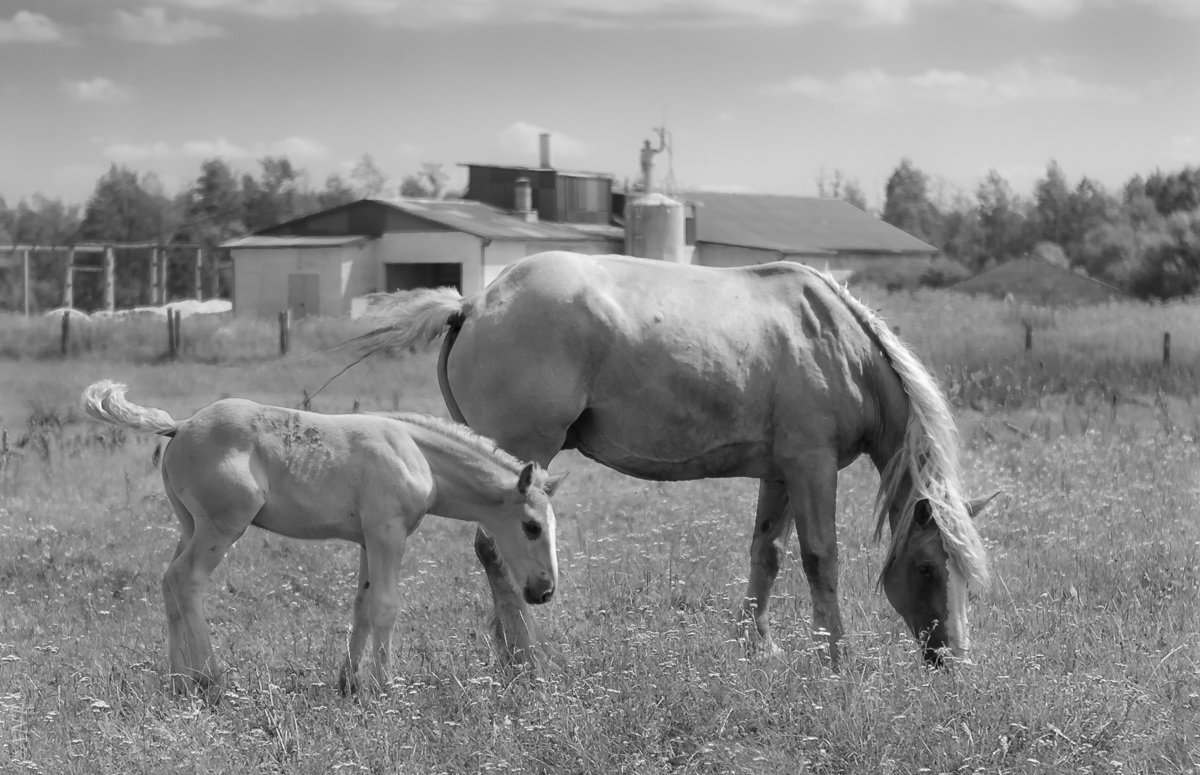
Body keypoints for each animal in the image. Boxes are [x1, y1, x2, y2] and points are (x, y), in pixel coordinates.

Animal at [81, 381, 566, 691]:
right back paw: (209, 678)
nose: (544, 591)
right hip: (222, 527)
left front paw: (349, 682)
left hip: (189, 525)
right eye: (532, 526)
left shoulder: (368, 540)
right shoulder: (388, 534)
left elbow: (363, 606)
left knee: (168, 584)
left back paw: (179, 680)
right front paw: (386, 685)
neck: (415, 453)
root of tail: (181, 425)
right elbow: (387, 606)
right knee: (187, 582)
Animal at [352, 253, 993, 667]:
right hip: (521, 459)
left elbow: (767, 553)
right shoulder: (811, 467)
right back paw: (525, 659)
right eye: (929, 568)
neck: (836, 342)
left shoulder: (780, 472)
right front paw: (836, 658)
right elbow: (820, 559)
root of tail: (475, 302)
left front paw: (757, 646)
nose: (954, 660)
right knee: (497, 548)